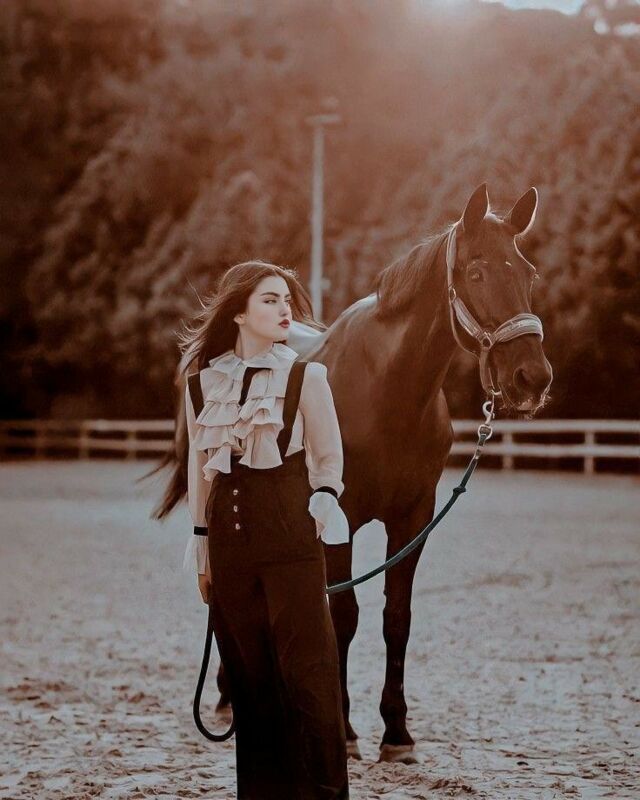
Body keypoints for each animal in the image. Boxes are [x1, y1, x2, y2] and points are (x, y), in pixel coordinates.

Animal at [155, 183, 553, 763]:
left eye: (527, 273)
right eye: (477, 271)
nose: (532, 378)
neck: (386, 391)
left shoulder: (413, 519)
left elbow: (396, 618)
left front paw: (397, 733)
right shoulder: (336, 515)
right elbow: (343, 616)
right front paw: (343, 729)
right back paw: (230, 698)